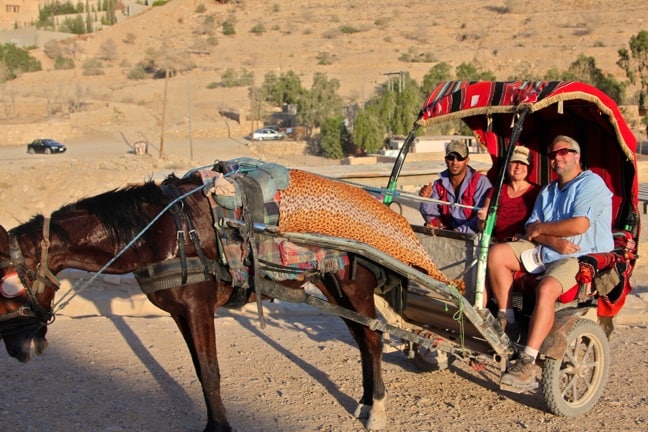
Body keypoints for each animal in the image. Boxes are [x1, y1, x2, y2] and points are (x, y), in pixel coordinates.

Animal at [0, 162, 454, 432]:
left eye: (7, 288)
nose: (18, 349)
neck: (159, 232)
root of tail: (387, 208)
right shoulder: (181, 313)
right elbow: (201, 373)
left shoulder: (199, 307)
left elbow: (212, 373)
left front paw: (220, 428)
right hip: (331, 286)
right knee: (362, 340)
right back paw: (364, 401)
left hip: (354, 286)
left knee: (373, 340)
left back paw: (376, 409)